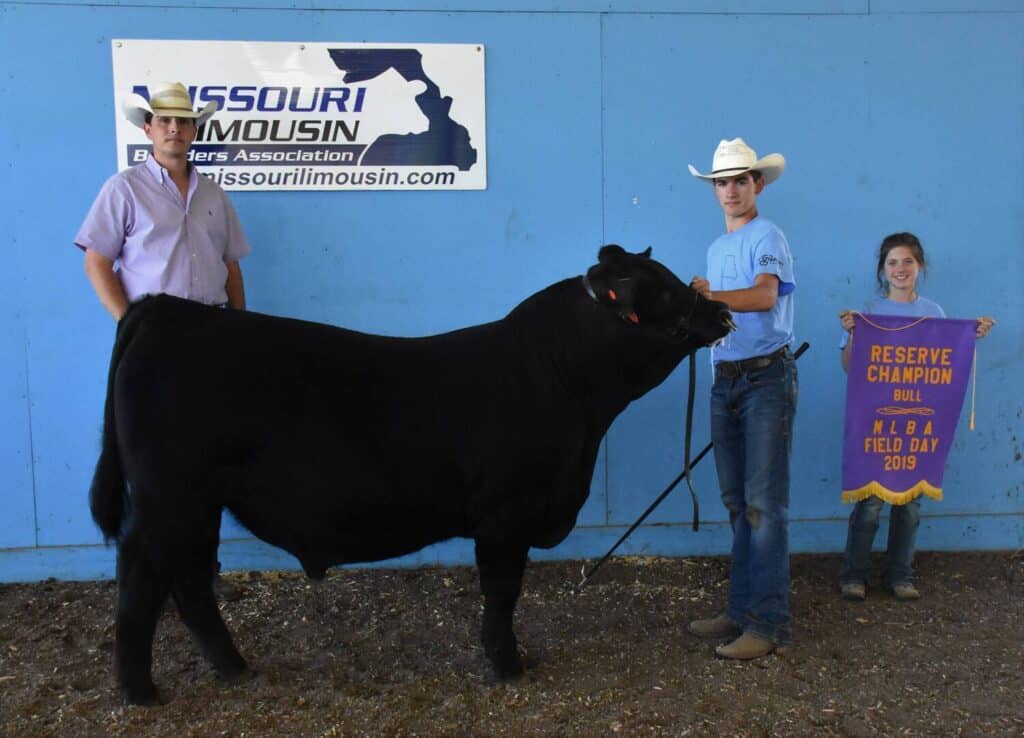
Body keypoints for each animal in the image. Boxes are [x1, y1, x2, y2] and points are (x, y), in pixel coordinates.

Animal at [89, 244, 733, 705]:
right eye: (663, 289)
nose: (724, 310)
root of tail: (168, 309)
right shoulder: (506, 514)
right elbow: (502, 591)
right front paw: (508, 664)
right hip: (170, 498)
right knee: (143, 578)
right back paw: (139, 691)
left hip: (197, 504)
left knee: (189, 580)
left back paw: (234, 668)